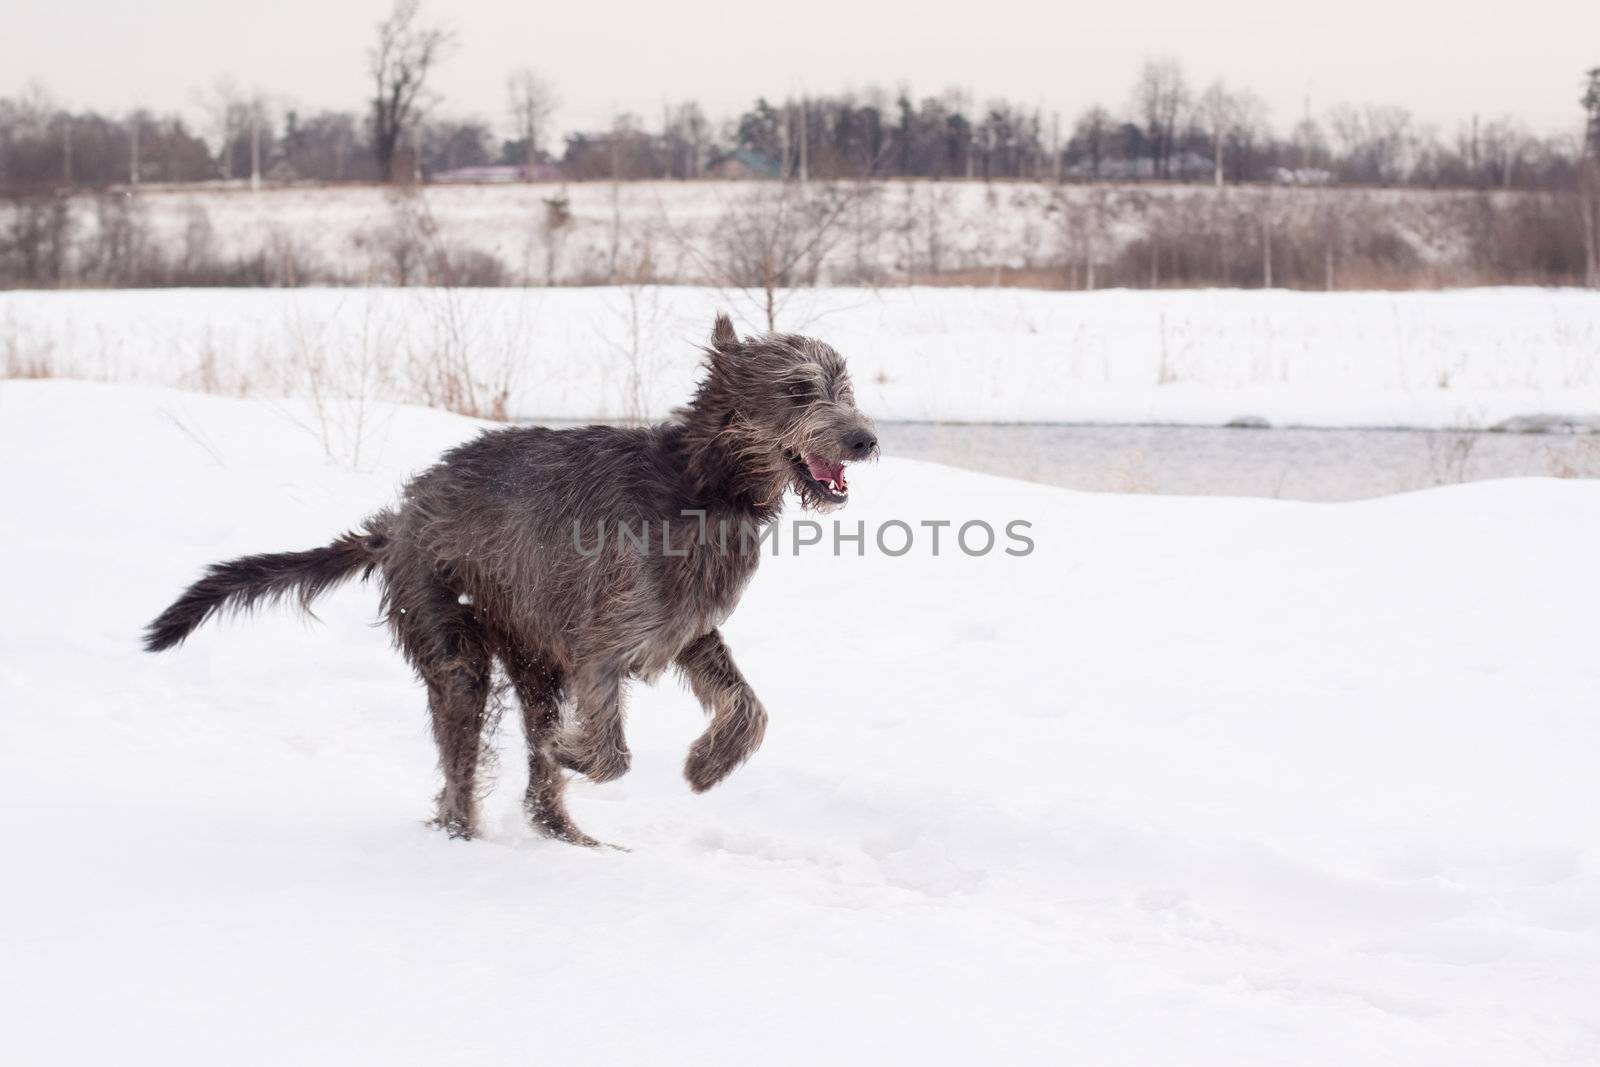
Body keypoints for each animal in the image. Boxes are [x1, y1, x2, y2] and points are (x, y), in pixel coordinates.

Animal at [144, 313, 883, 844]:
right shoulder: (601, 642)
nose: (866, 440)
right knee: (460, 767)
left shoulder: (686, 631)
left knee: (534, 784)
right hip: (452, 638)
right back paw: (466, 837)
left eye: (845, 387)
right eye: (797, 389)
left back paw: (570, 835)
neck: (701, 487)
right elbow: (610, 752)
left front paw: (707, 765)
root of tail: (399, 519)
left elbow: (749, 708)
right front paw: (580, 753)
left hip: (531, 657)